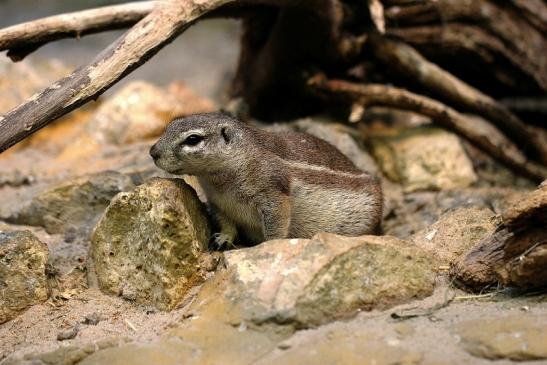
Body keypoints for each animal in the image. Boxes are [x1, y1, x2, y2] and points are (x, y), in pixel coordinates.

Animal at [148, 111, 384, 247]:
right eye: (169, 125)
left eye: (193, 139)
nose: (152, 152)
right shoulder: (217, 202)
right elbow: (226, 223)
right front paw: (223, 239)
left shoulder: (273, 195)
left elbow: (275, 227)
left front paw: (269, 247)